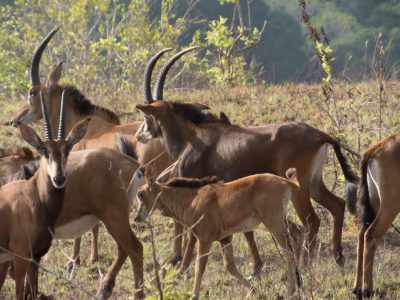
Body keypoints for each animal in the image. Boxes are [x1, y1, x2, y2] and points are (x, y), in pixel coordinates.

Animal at [0, 92, 90, 300]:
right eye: (44, 150)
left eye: (67, 149)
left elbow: (32, 292)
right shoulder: (20, 256)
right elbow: (20, 294)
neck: (34, 197)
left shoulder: (36, 258)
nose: (59, 178)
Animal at [134, 56, 360, 272]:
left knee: (312, 220)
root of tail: (319, 134)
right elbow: (246, 230)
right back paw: (338, 256)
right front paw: (256, 267)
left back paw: (306, 264)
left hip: (300, 189)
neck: (191, 138)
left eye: (146, 115)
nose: (139, 136)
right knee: (337, 205)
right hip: (314, 184)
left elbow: (191, 230)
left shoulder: (196, 188)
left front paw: (182, 266)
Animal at [135, 168, 304, 298]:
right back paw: (299, 281)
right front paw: (255, 292)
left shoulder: (204, 240)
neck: (192, 199)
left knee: (287, 250)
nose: (137, 218)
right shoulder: (225, 238)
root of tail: (285, 182)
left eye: (141, 194)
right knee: (298, 233)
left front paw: (194, 295)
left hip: (273, 222)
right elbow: (230, 267)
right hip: (280, 219)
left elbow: (199, 267)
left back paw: (291, 289)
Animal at [354, 133, 400, 298]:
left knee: (361, 234)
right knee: (371, 235)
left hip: (375, 203)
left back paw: (357, 288)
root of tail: (374, 150)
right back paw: (367, 289)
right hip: (390, 205)